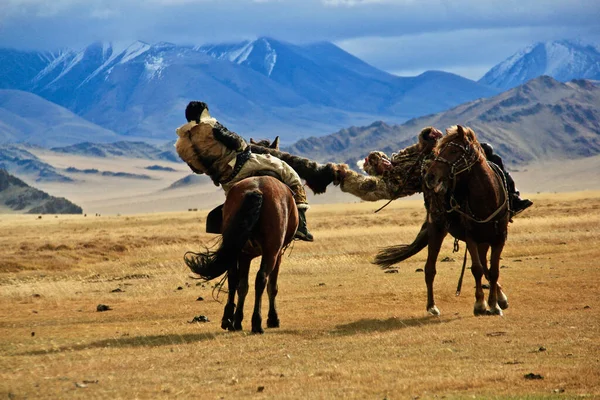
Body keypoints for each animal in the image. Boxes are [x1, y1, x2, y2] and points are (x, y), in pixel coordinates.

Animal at [182, 176, 296, 334]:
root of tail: (257, 189)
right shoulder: (277, 253)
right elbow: (272, 286)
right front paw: (273, 319)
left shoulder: (244, 255)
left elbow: (241, 285)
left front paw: (237, 320)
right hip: (271, 251)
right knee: (261, 279)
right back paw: (257, 323)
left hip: (235, 247)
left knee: (233, 279)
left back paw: (229, 320)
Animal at [378, 125, 508, 316]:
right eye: (441, 150)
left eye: (453, 150)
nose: (430, 176)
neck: (487, 199)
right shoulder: (471, 237)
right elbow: (476, 269)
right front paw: (480, 304)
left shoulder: (499, 238)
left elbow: (494, 271)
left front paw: (494, 305)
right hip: (437, 230)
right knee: (430, 269)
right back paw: (432, 306)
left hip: (484, 239)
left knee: (486, 266)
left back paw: (501, 298)